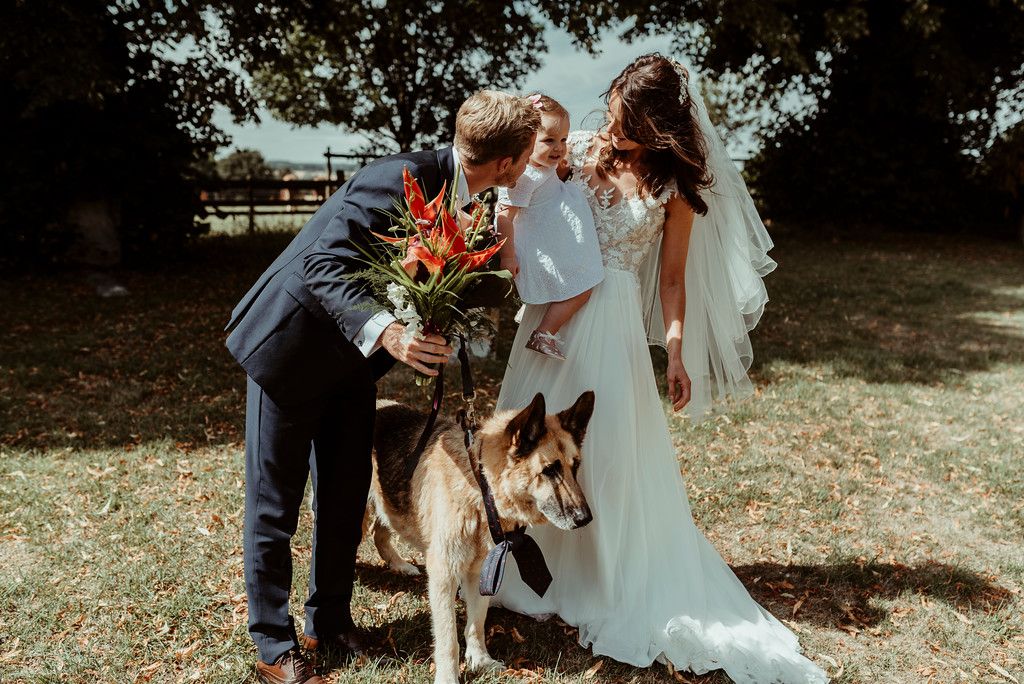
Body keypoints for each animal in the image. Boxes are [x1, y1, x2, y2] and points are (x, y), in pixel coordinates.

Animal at [366, 389, 593, 684]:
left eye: (574, 467)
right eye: (550, 470)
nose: (585, 519)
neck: (479, 483)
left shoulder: (481, 571)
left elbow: (477, 621)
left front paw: (480, 660)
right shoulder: (444, 574)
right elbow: (448, 637)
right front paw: (448, 677)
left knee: (380, 532)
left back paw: (400, 565)